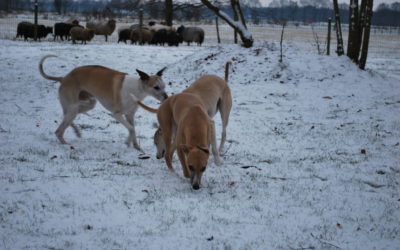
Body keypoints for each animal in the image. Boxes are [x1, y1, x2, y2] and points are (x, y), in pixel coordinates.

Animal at [38, 54, 167, 150]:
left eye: (164, 86)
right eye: (156, 87)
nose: (166, 98)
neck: (137, 88)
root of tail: (63, 78)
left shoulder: (130, 115)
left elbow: (133, 129)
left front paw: (136, 147)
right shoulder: (116, 114)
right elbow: (131, 129)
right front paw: (127, 142)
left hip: (86, 104)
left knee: (66, 119)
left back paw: (77, 132)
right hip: (73, 107)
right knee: (58, 131)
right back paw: (66, 144)